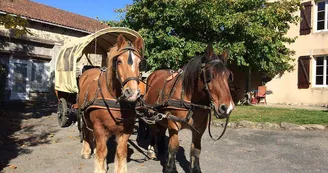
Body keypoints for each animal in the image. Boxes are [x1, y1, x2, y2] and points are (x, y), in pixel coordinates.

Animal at [77, 34, 144, 173]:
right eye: (118, 61)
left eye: (140, 63)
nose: (132, 93)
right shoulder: (99, 127)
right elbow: (102, 152)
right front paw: (100, 168)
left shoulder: (127, 129)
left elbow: (121, 152)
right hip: (84, 115)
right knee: (86, 131)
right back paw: (86, 151)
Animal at [143, 44, 233, 172]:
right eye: (210, 74)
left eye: (228, 76)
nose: (227, 108)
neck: (190, 100)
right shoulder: (173, 122)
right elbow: (173, 147)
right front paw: (170, 168)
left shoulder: (199, 128)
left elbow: (196, 149)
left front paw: (195, 169)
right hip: (151, 113)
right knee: (153, 130)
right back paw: (151, 150)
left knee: (161, 129)